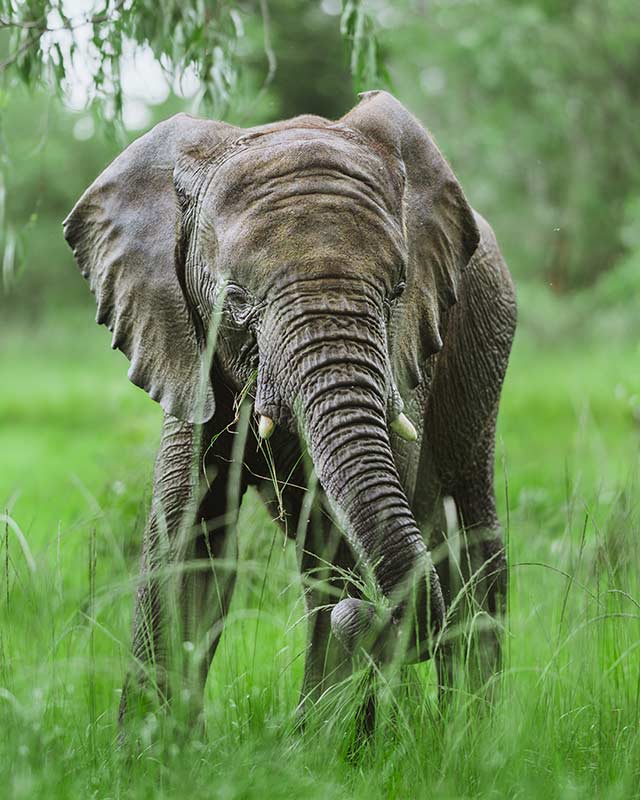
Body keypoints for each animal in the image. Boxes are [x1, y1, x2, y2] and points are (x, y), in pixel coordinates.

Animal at [64, 90, 516, 729]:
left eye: (398, 290)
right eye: (235, 299)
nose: (366, 613)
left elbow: (362, 536)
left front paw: (332, 738)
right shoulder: (183, 346)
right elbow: (187, 546)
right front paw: (152, 747)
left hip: (486, 336)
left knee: (465, 536)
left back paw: (470, 733)